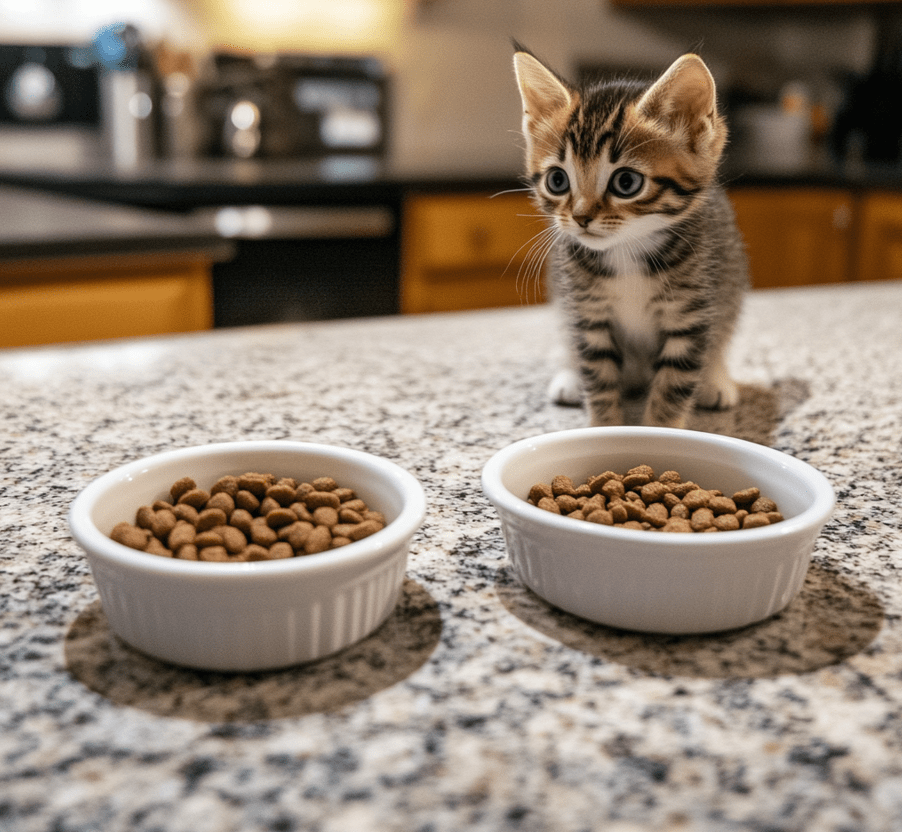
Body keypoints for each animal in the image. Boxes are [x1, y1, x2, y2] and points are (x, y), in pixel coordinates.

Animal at [512, 48, 752, 428]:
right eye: (557, 181)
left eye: (626, 183)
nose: (580, 217)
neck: (626, 251)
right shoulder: (587, 313)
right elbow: (597, 374)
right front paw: (603, 429)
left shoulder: (690, 314)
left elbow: (673, 386)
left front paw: (660, 432)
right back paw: (570, 376)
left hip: (730, 276)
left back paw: (715, 380)